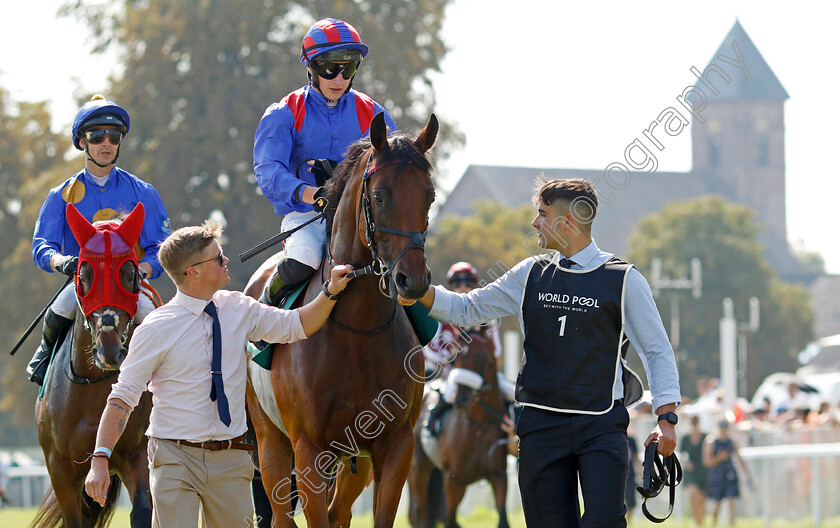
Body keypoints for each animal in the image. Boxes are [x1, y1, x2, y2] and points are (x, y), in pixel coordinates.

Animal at [32, 204, 154, 528]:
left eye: (130, 274)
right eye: (84, 275)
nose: (109, 350)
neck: (91, 392)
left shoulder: (135, 454)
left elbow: (143, 511)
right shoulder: (60, 468)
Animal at [244, 112, 436, 528]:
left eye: (429, 196)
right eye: (379, 196)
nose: (412, 280)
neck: (359, 329)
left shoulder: (395, 444)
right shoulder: (309, 449)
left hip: (352, 460)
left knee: (339, 512)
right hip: (270, 442)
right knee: (281, 515)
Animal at [408, 326, 512, 528]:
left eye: (482, 356)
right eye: (455, 357)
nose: (461, 399)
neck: (478, 426)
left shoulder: (498, 475)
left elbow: (502, 518)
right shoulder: (453, 479)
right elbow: (449, 519)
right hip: (418, 468)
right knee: (420, 513)